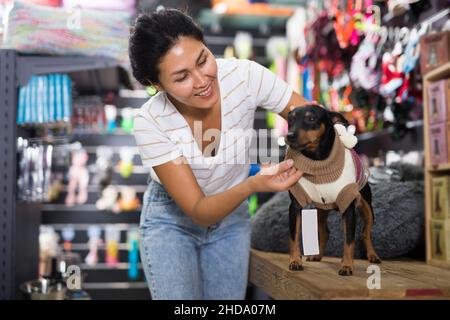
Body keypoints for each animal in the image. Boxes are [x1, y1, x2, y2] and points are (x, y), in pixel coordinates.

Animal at [284, 104, 380, 276]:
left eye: (311, 118)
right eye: (290, 119)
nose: (290, 136)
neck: (317, 160)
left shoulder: (348, 207)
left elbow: (349, 240)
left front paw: (347, 265)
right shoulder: (295, 206)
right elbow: (293, 236)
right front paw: (295, 261)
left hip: (367, 208)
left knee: (366, 233)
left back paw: (372, 255)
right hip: (320, 209)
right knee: (325, 232)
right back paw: (317, 255)